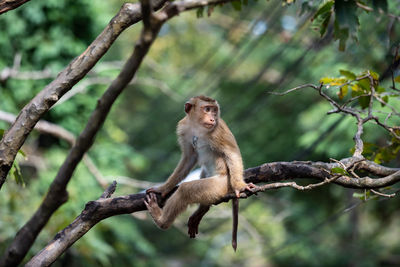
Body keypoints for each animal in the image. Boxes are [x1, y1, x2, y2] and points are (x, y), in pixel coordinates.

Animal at [145, 95, 255, 250]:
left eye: (214, 111)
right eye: (207, 109)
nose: (213, 118)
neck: (197, 127)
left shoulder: (218, 129)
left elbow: (232, 154)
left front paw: (240, 185)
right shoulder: (183, 127)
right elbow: (189, 157)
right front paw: (163, 188)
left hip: (221, 184)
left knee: (185, 190)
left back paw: (162, 221)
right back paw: (203, 208)